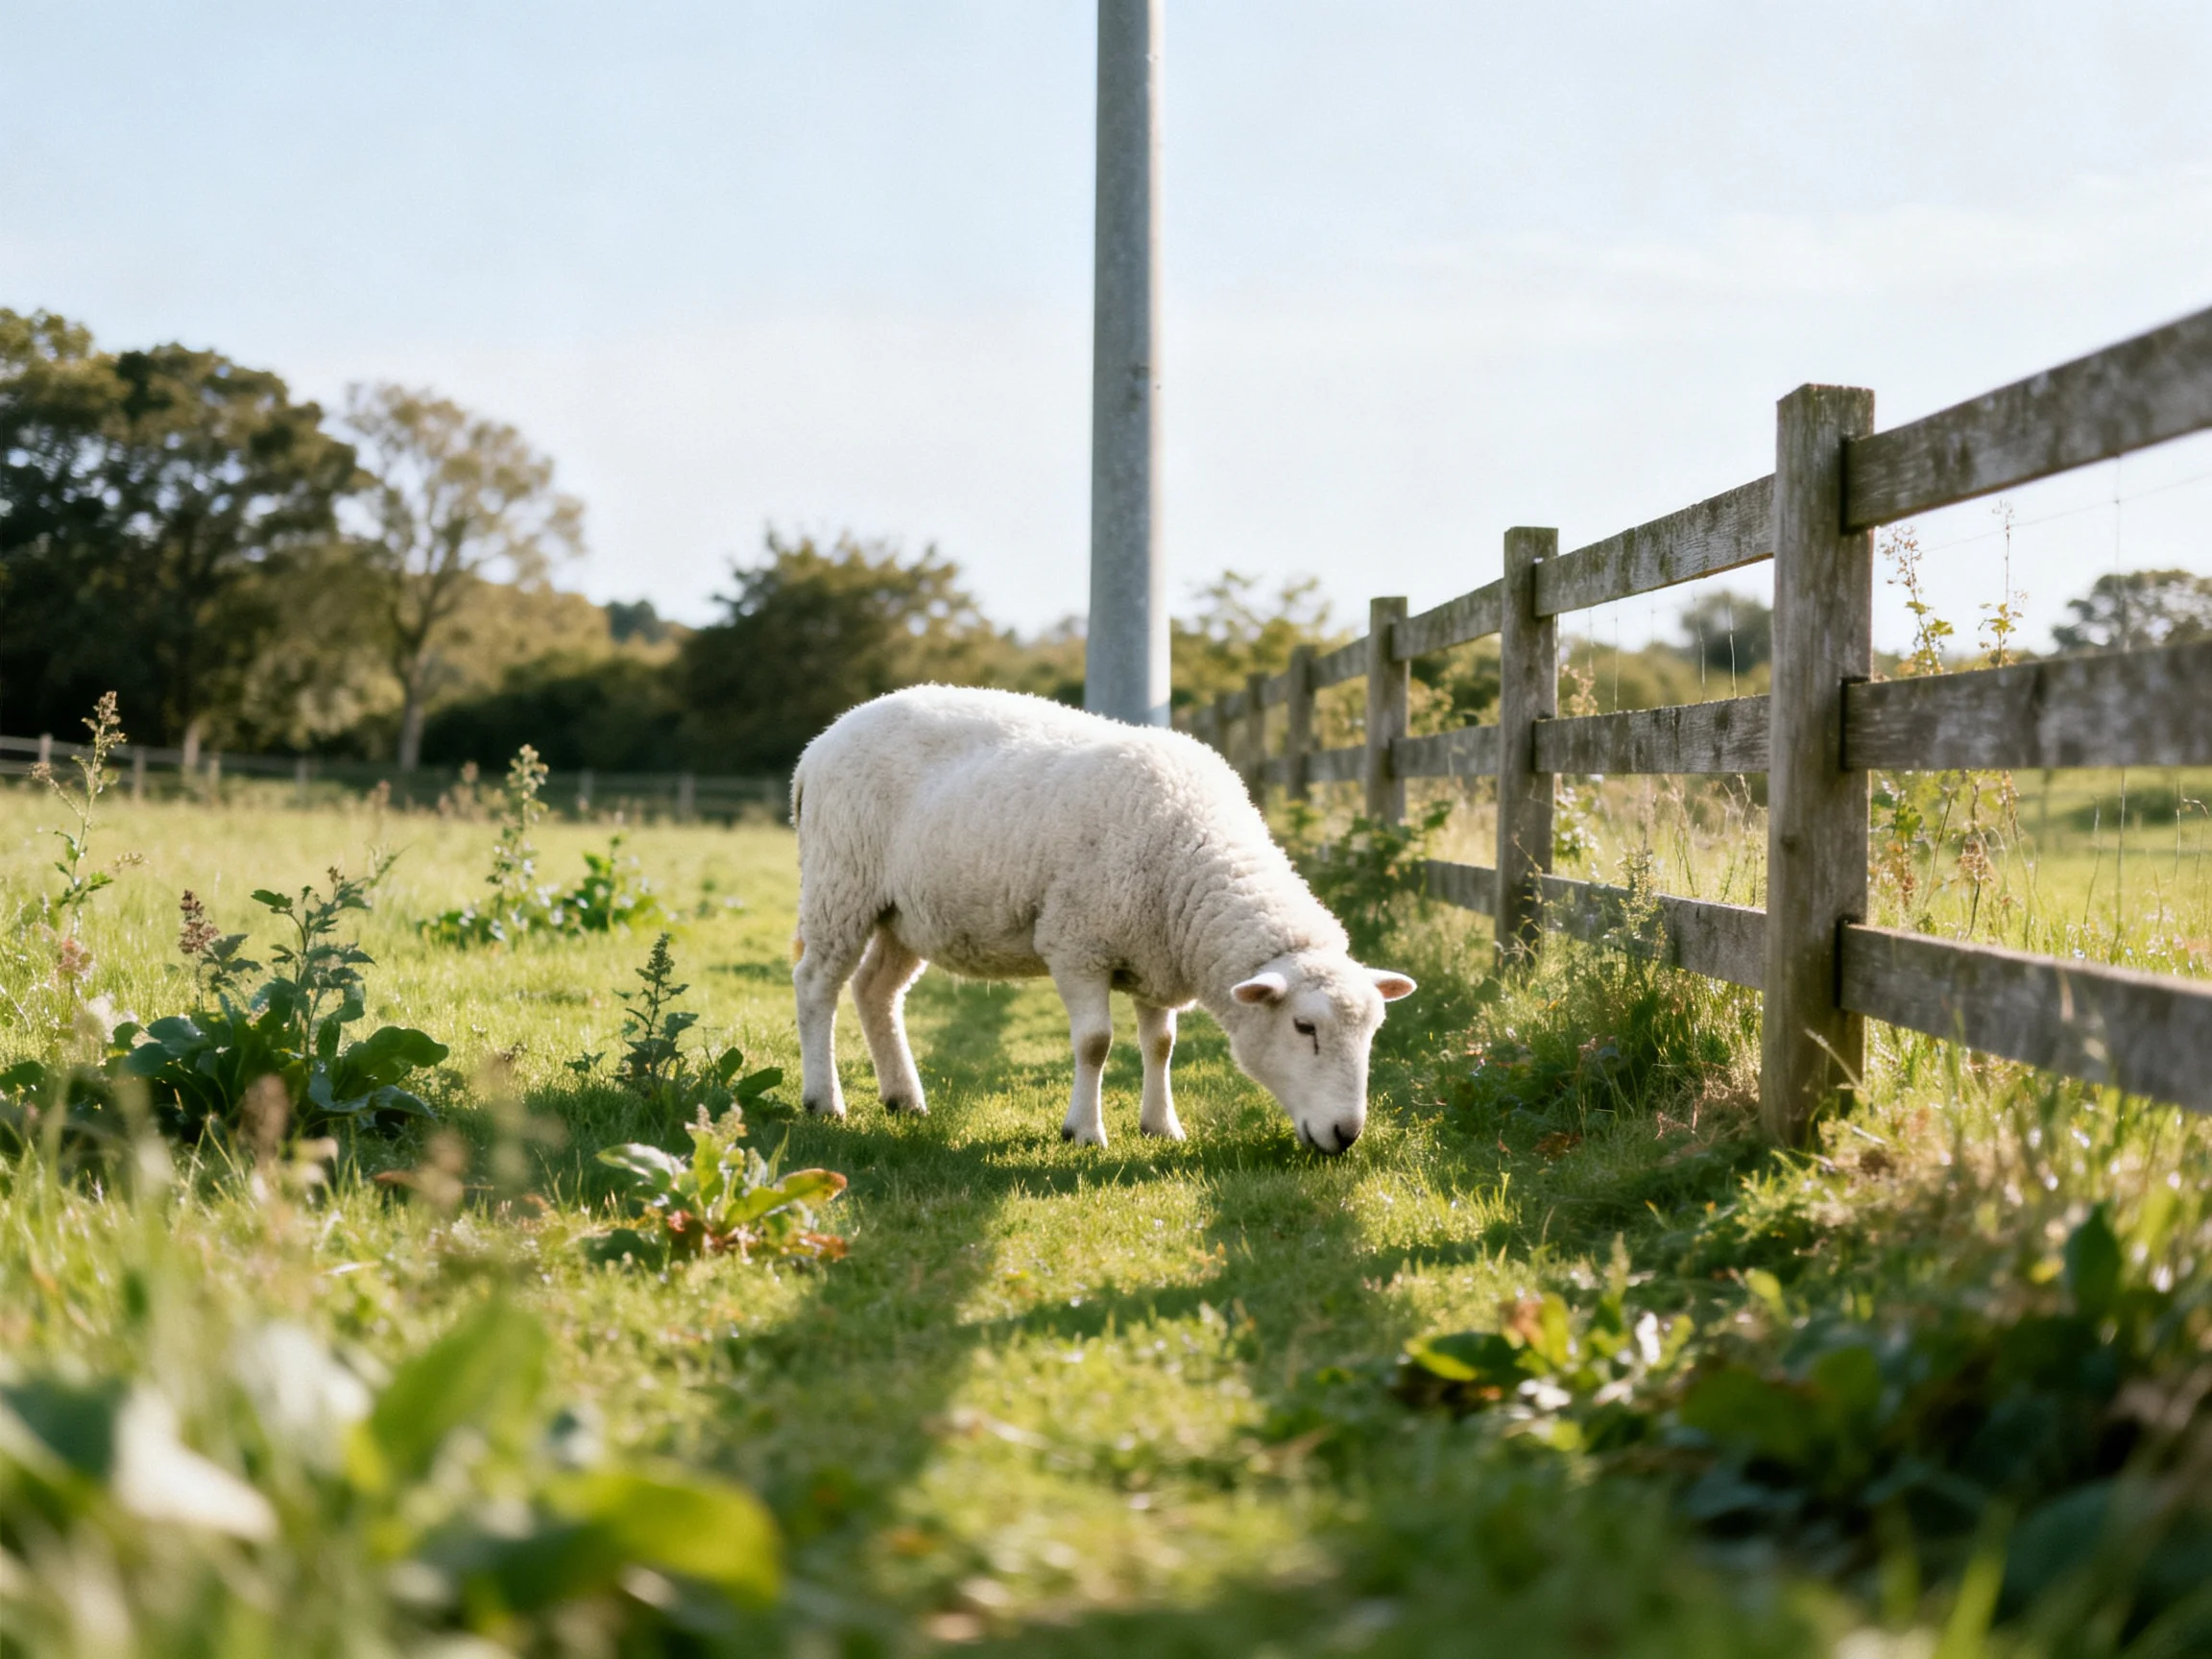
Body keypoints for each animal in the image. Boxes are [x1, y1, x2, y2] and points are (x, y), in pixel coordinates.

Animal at [789, 685, 1415, 1153]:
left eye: (1374, 1032)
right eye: (1304, 1027)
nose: (1346, 1134)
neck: (1191, 850)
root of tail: (820, 743)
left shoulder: (1157, 955)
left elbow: (1160, 1044)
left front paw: (1162, 1126)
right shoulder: (1076, 945)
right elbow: (1095, 1043)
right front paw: (1084, 1132)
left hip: (903, 912)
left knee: (876, 991)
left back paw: (904, 1098)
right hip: (840, 882)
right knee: (817, 984)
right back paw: (825, 1100)